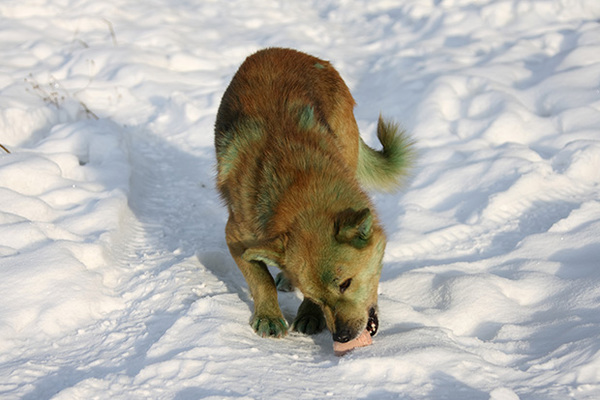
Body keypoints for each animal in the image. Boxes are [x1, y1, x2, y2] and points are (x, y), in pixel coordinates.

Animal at [213, 47, 414, 344]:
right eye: (318, 297)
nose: (342, 337)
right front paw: (270, 316)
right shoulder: (236, 236)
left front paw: (308, 315)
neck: (299, 183)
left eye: (345, 284)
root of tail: (282, 50)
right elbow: (261, 280)